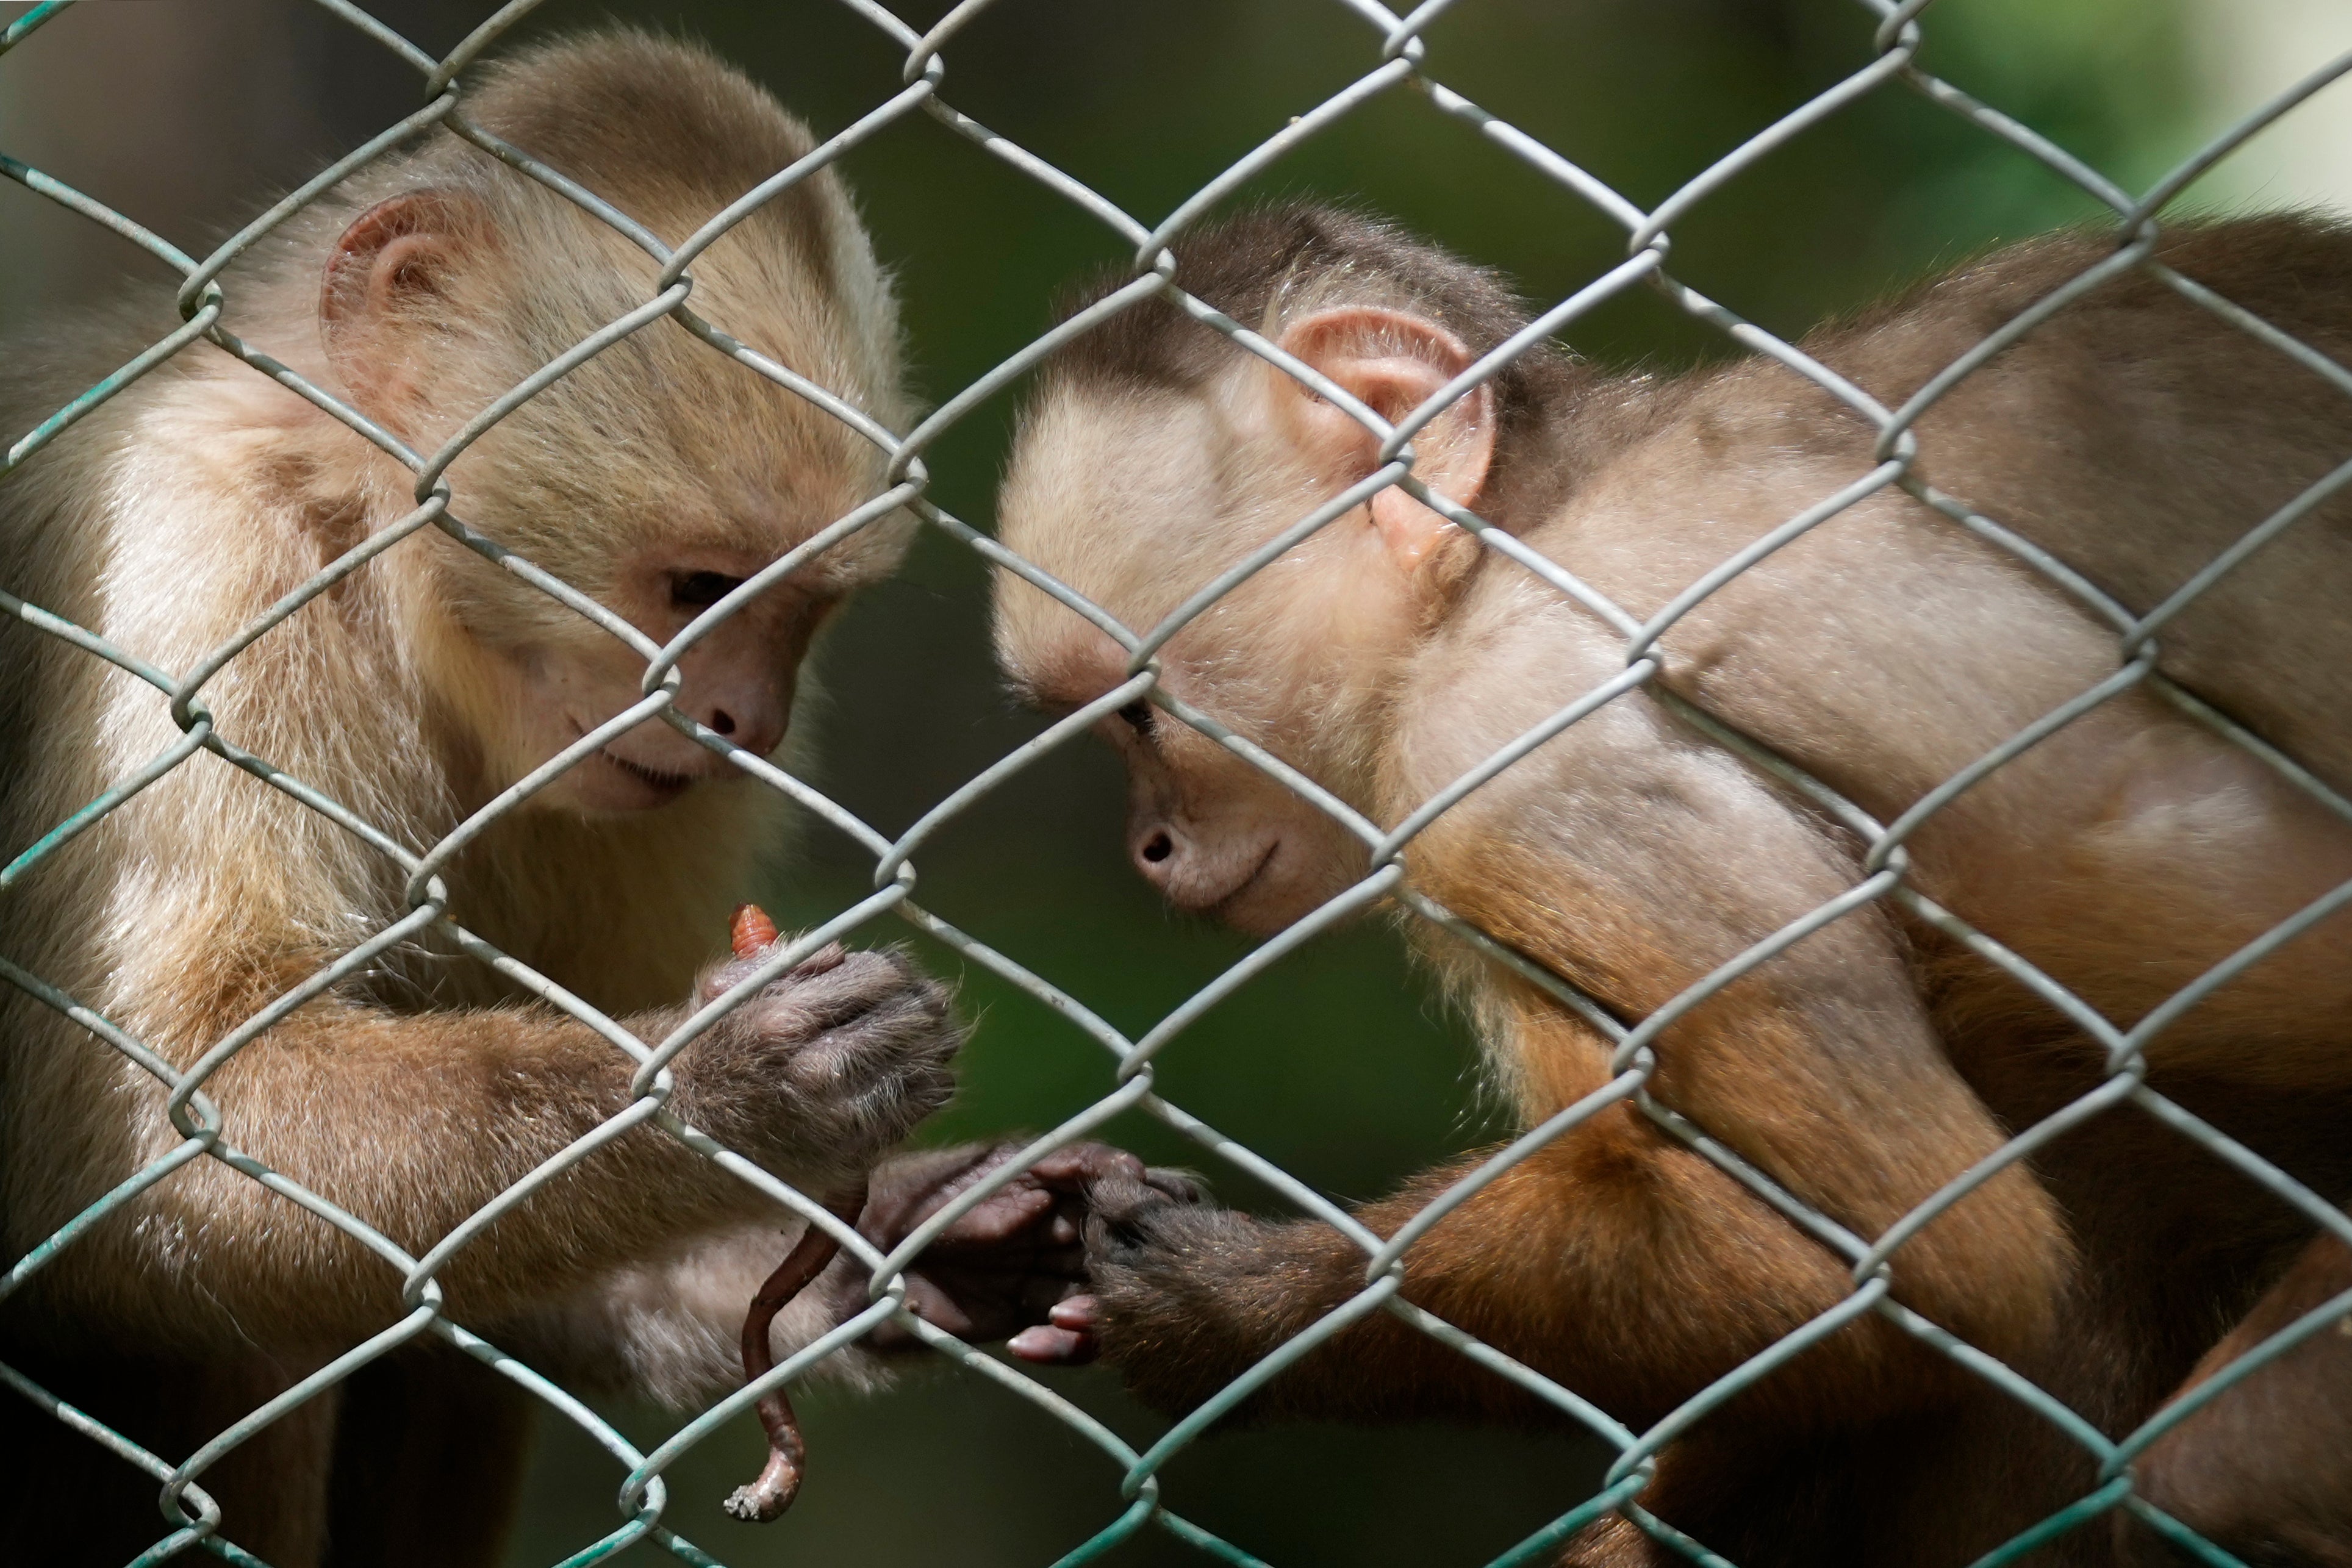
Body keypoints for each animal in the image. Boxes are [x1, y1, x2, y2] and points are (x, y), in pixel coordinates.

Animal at [0, 27, 1114, 1568]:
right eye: (699, 589)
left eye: (801, 612)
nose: (743, 720)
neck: (376, 570)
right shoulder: (183, 547)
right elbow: (143, 1155)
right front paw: (731, 1085)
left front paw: (904, 1245)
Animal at [992, 211, 2352, 1568]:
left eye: (1138, 719)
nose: (1146, 846)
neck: (1520, 542)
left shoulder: (1517, 746)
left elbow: (1936, 1267)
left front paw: (1225, 1306)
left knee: (2201, 1470)